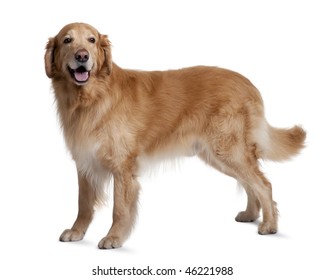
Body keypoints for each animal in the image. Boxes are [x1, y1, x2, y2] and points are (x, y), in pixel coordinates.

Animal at [44, 23, 306, 248]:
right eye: (67, 40)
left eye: (92, 40)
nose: (82, 56)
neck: (92, 98)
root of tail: (249, 84)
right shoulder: (85, 162)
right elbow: (83, 204)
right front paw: (77, 232)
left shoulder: (122, 167)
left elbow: (119, 209)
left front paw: (114, 238)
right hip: (218, 155)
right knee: (249, 182)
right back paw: (251, 214)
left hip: (227, 149)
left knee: (263, 184)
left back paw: (269, 224)